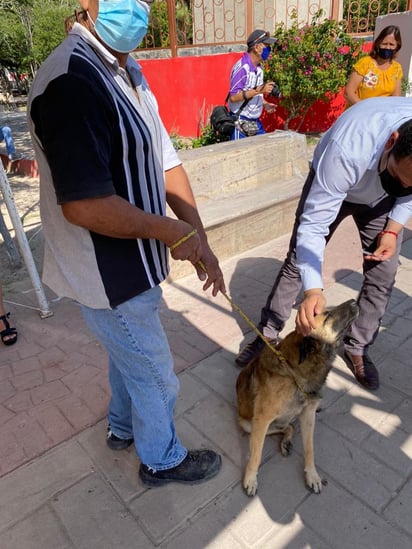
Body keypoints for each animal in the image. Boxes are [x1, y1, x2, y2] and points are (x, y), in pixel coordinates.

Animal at [237, 300, 358, 496]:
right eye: (327, 315)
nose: (354, 301)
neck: (295, 374)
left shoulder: (308, 416)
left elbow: (310, 449)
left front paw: (312, 475)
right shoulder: (262, 419)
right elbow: (256, 454)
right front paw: (250, 479)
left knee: (290, 426)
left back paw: (286, 441)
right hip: (248, 424)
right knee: (282, 428)